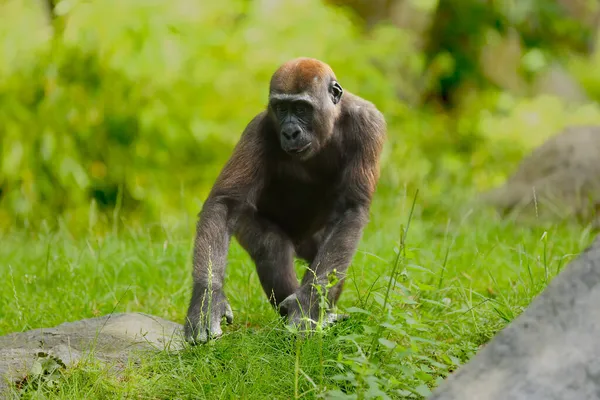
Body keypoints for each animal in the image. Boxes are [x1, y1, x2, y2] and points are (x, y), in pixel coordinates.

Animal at [185, 57, 386, 344]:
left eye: (301, 108)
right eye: (281, 108)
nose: (290, 132)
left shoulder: (369, 122)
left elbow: (351, 210)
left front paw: (308, 305)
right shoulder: (257, 129)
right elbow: (225, 204)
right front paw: (207, 298)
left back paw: (323, 315)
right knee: (272, 246)